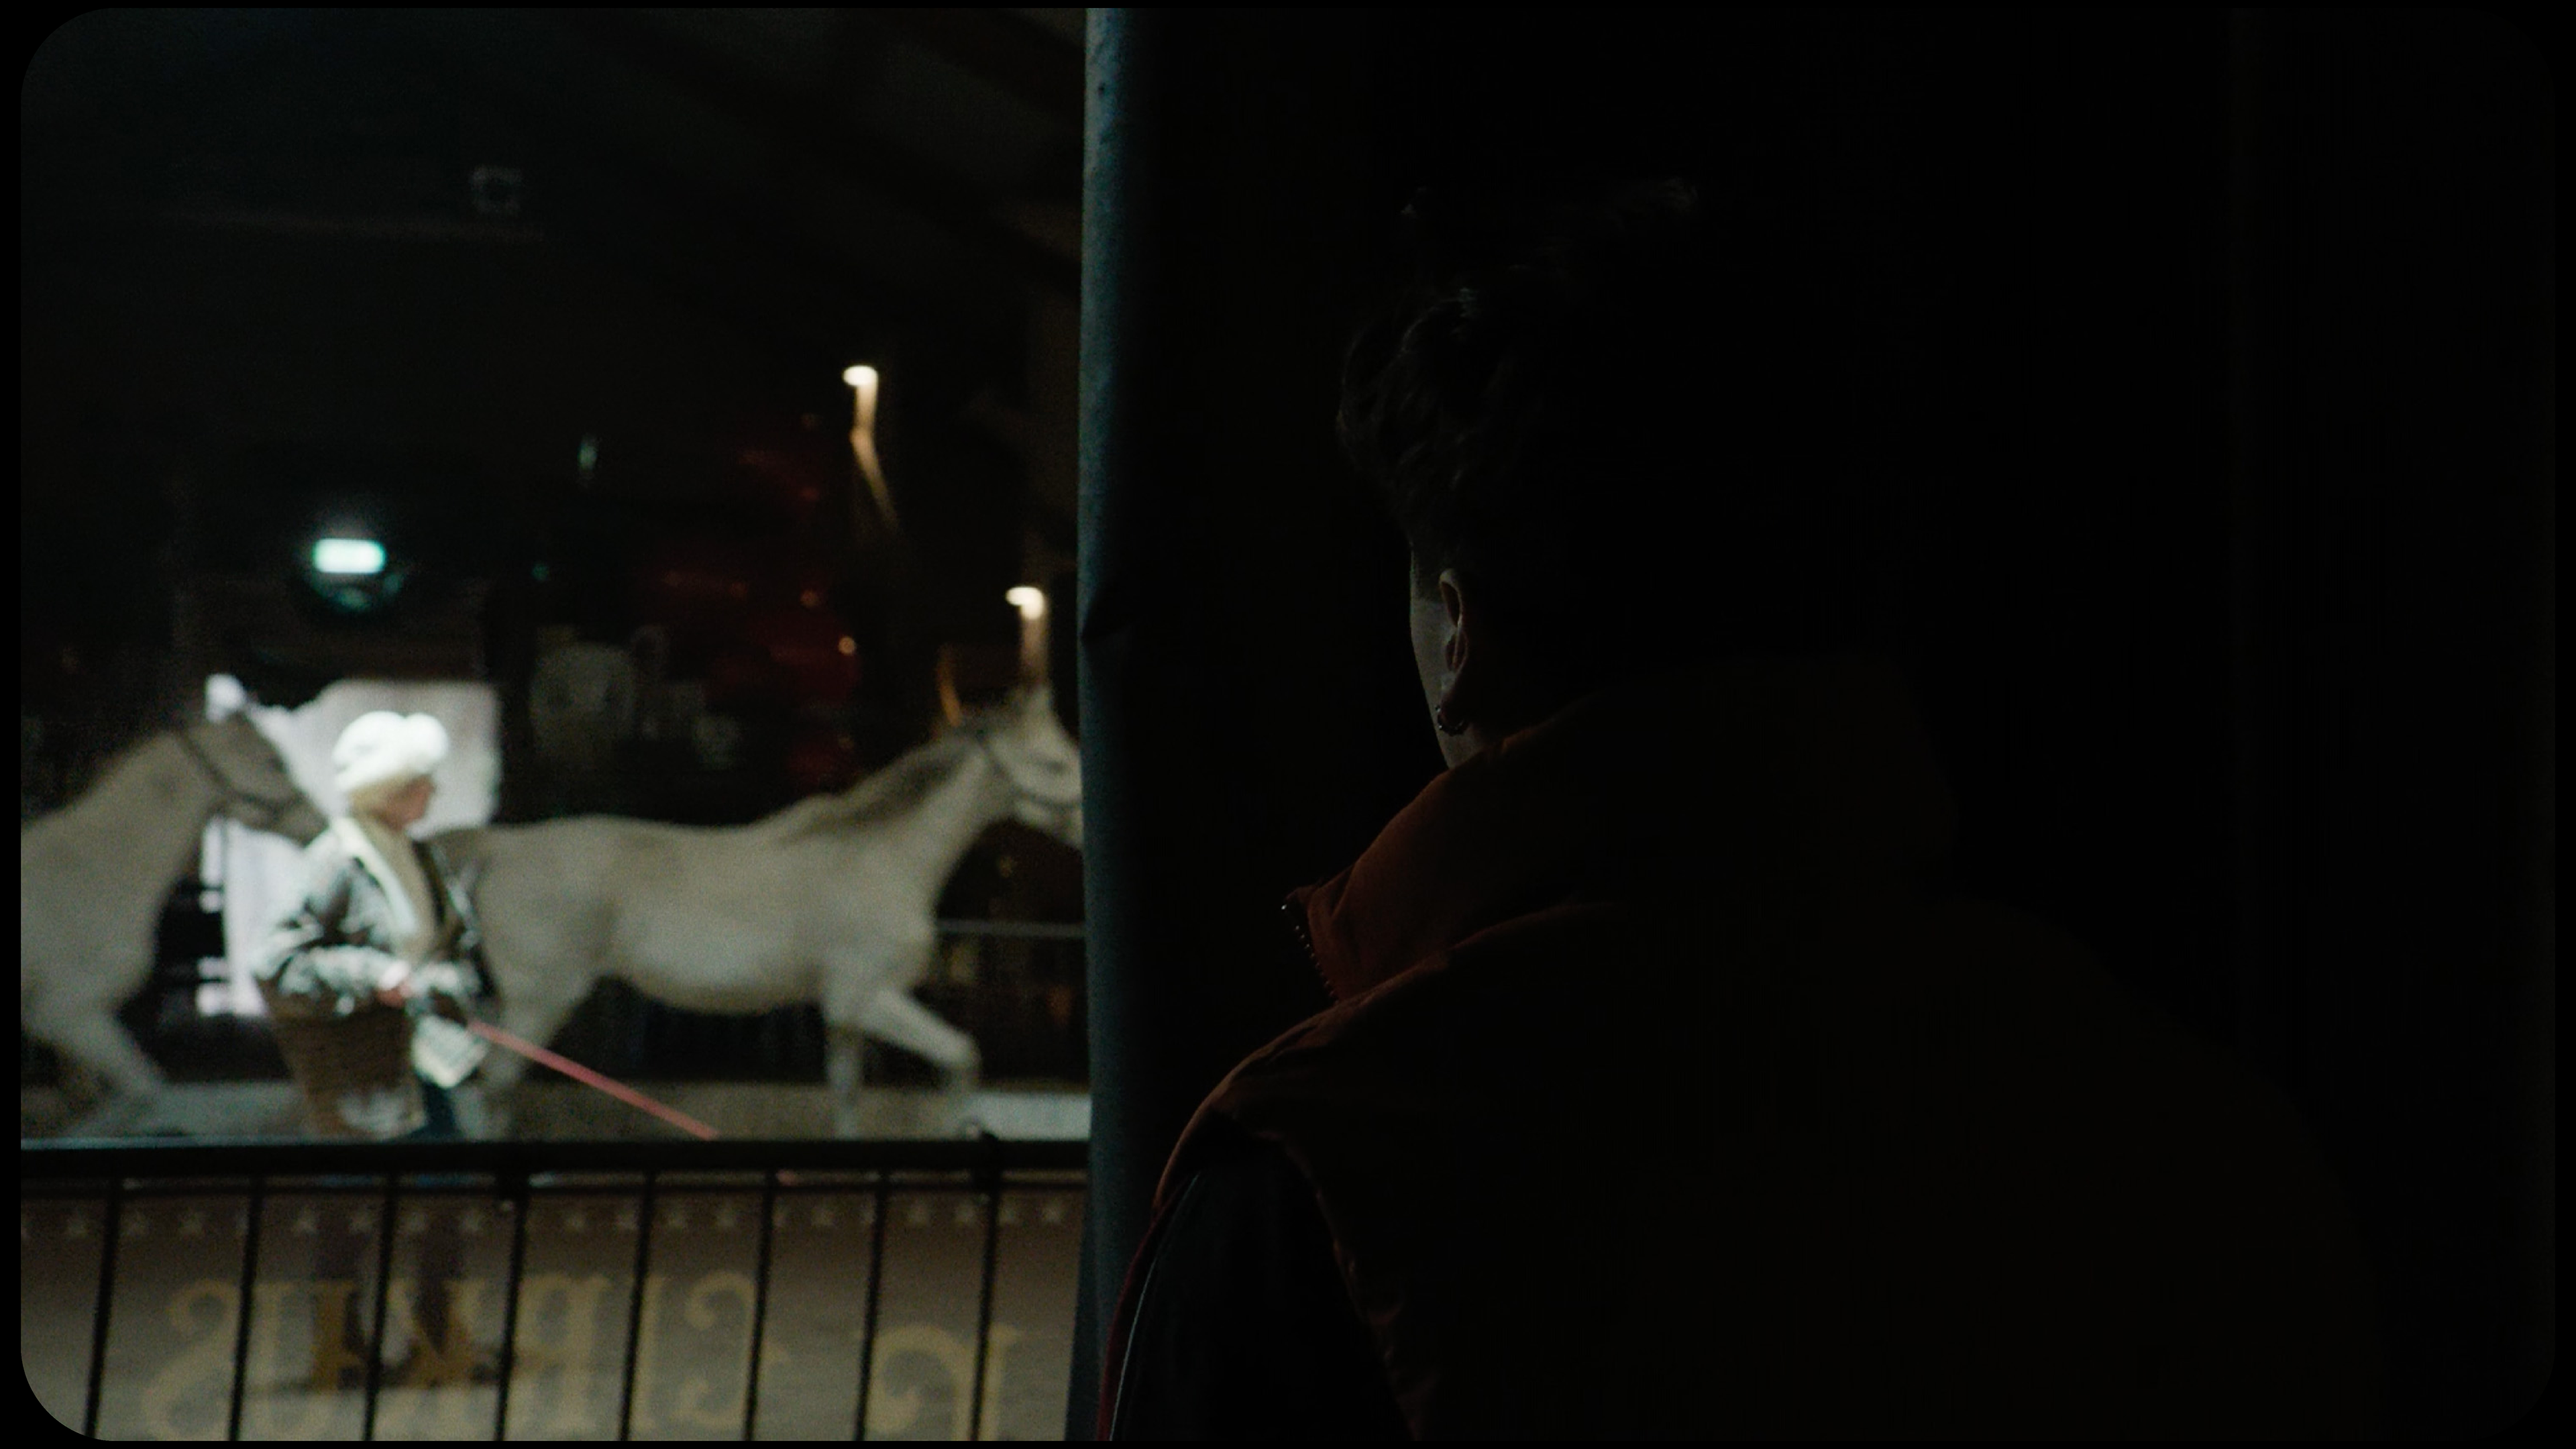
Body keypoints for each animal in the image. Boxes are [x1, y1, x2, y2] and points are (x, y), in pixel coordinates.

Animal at [434, 683, 1083, 1136]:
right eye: (1054, 762)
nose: (1086, 831)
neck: (883, 859)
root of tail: (502, 845)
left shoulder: (844, 1015)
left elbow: (847, 1095)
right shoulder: (871, 998)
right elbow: (963, 1057)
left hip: (509, 1002)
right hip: (541, 999)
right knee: (496, 1086)